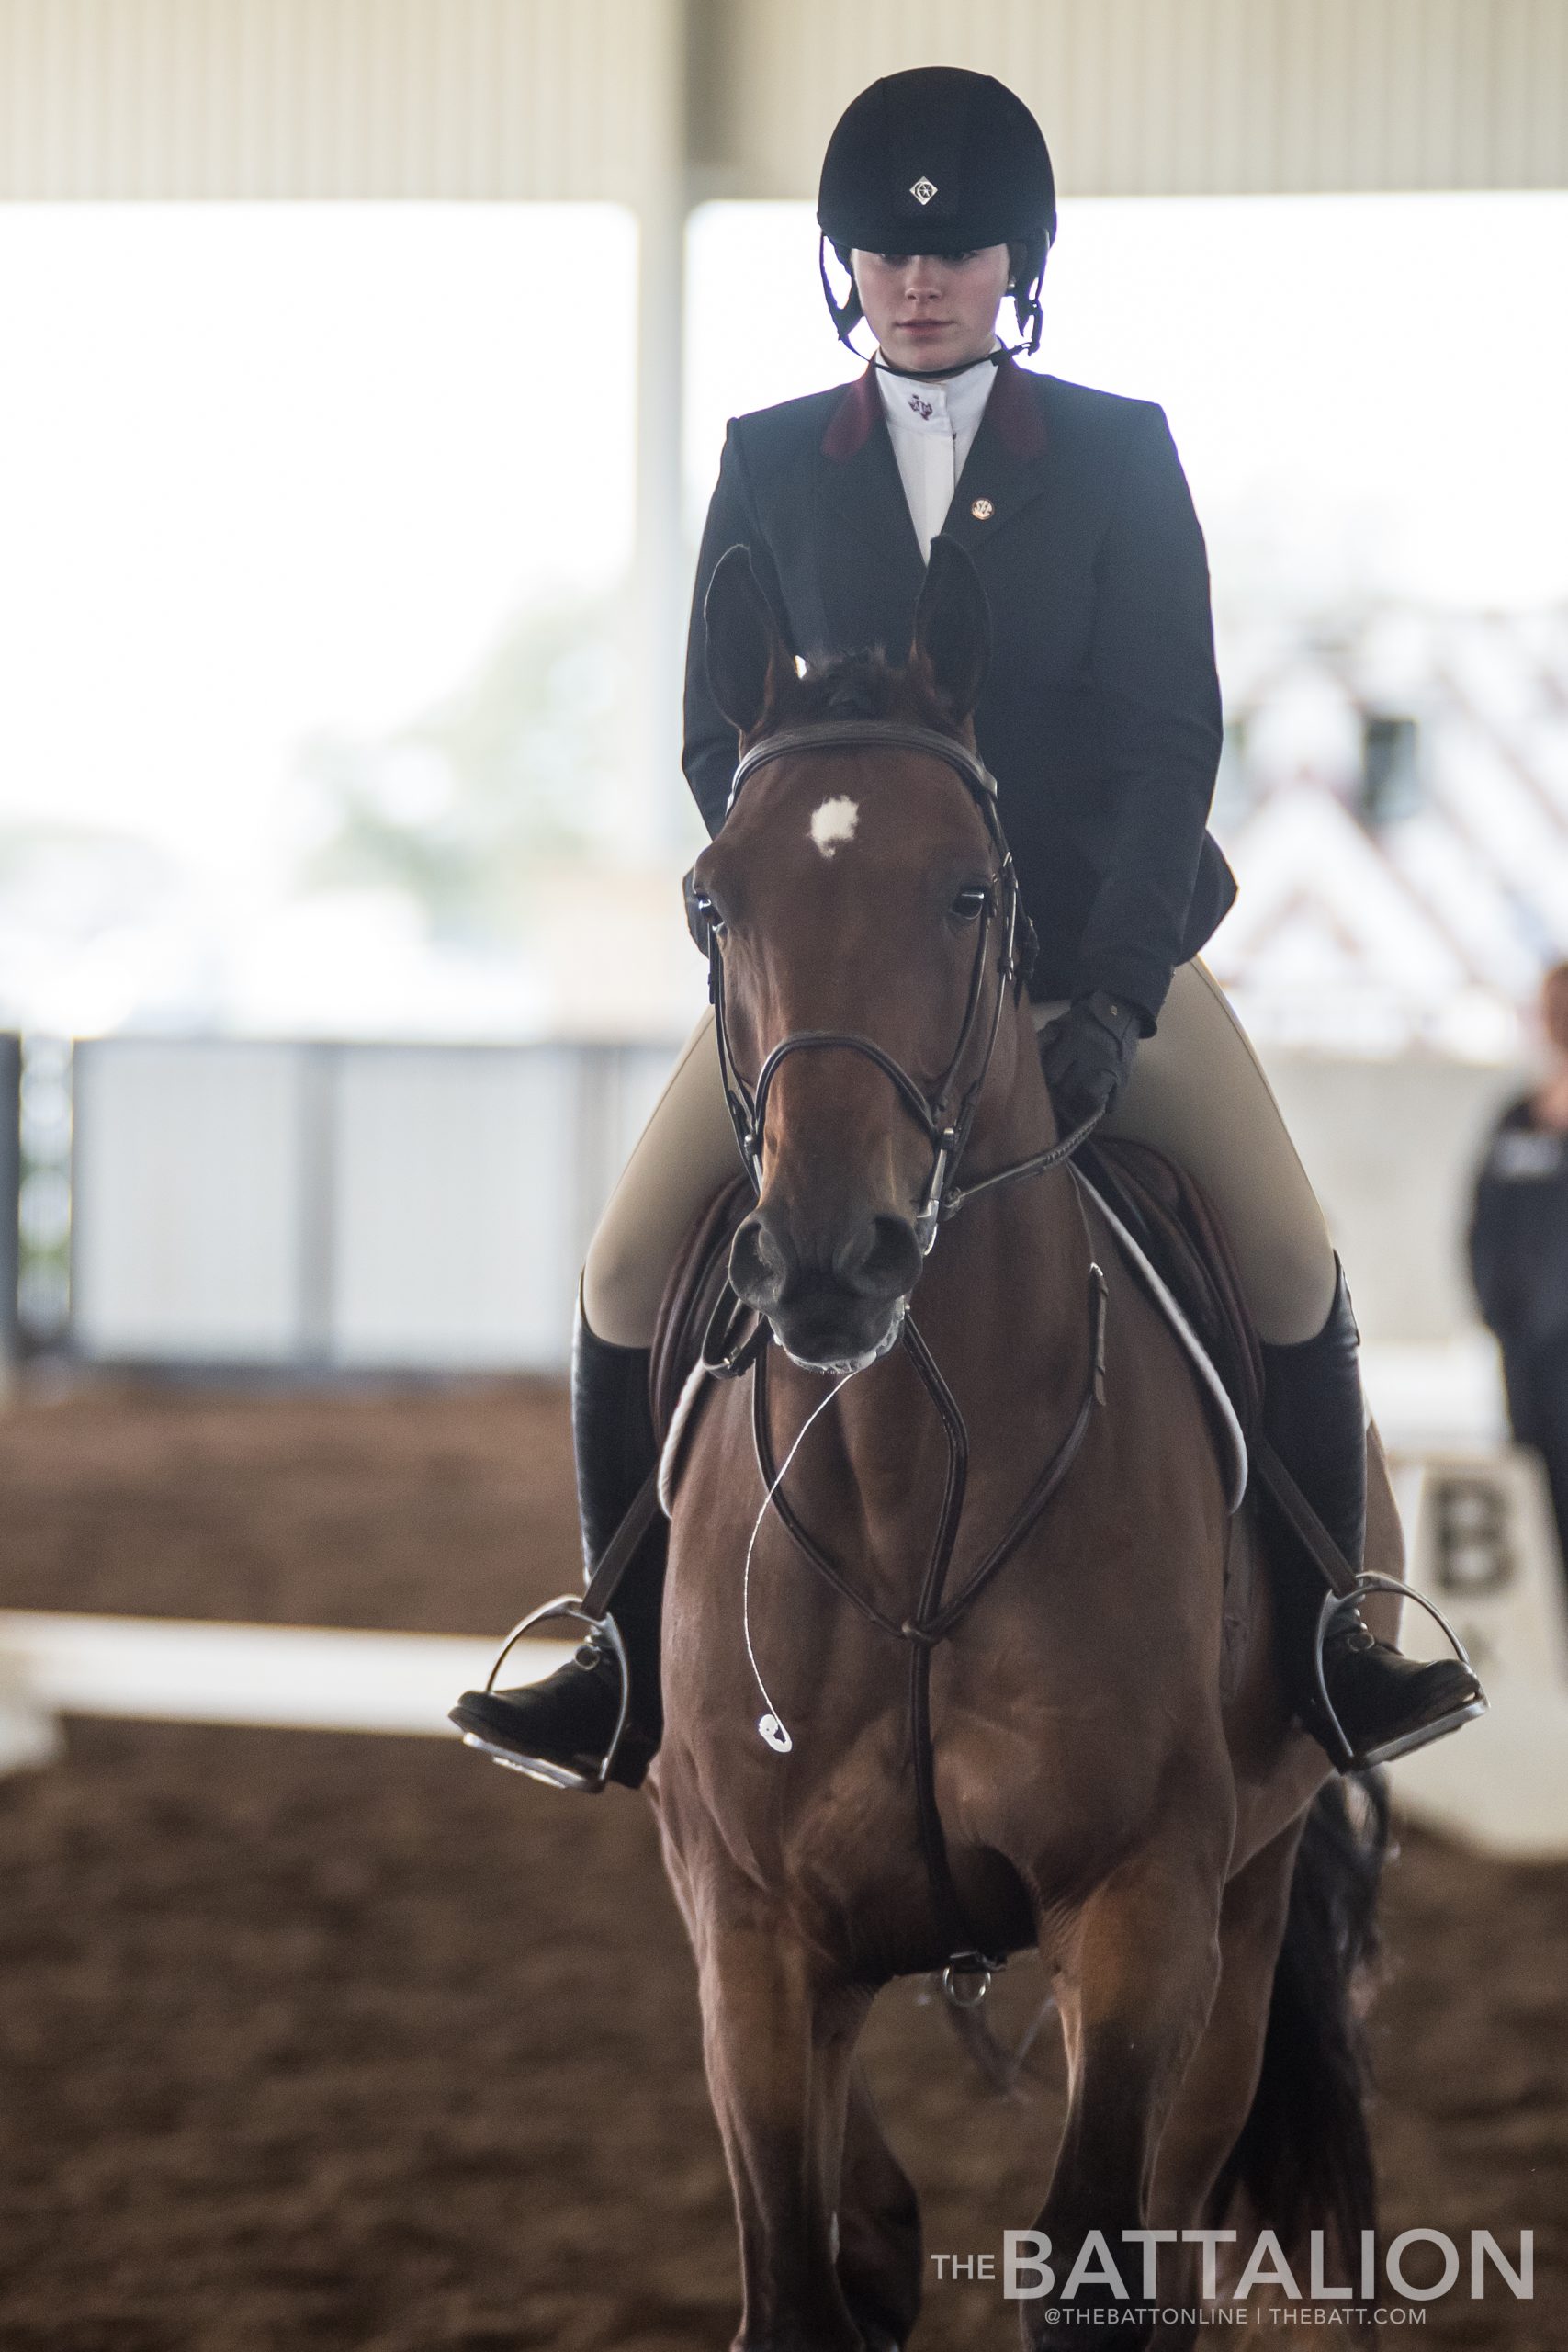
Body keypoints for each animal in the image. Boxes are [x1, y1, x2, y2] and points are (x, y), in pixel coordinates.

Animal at [644, 540, 1392, 2342]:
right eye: (714, 900)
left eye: (970, 892)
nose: (829, 1257)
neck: (910, 1484)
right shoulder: (750, 1929)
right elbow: (798, 2281)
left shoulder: (1142, 1908)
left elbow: (1090, 2258)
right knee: (872, 2217)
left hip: (1250, 1898)